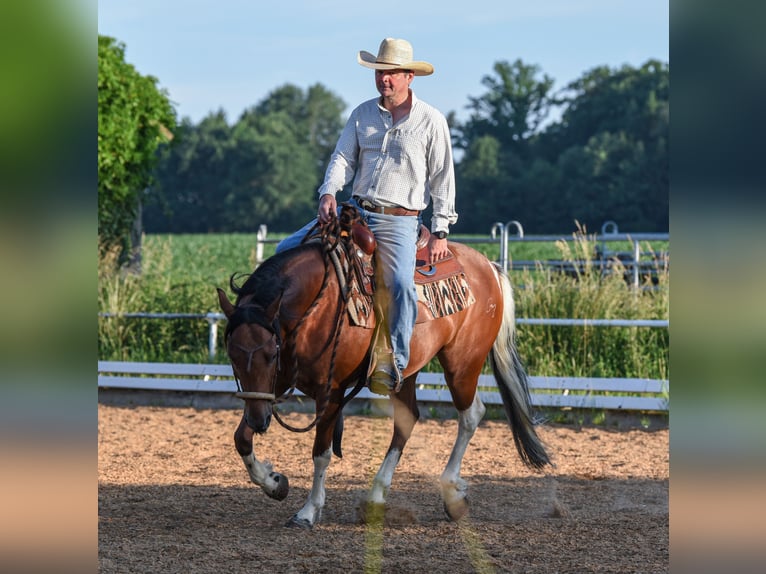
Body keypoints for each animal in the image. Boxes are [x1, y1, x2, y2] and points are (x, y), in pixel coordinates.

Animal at [216, 208, 550, 529]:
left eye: (270, 354)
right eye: (232, 355)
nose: (261, 422)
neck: (314, 308)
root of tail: (489, 267)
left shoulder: (331, 392)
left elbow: (321, 453)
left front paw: (308, 512)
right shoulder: (270, 386)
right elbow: (241, 438)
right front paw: (274, 483)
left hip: (462, 363)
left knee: (471, 414)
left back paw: (452, 493)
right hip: (406, 372)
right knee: (407, 419)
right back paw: (377, 496)